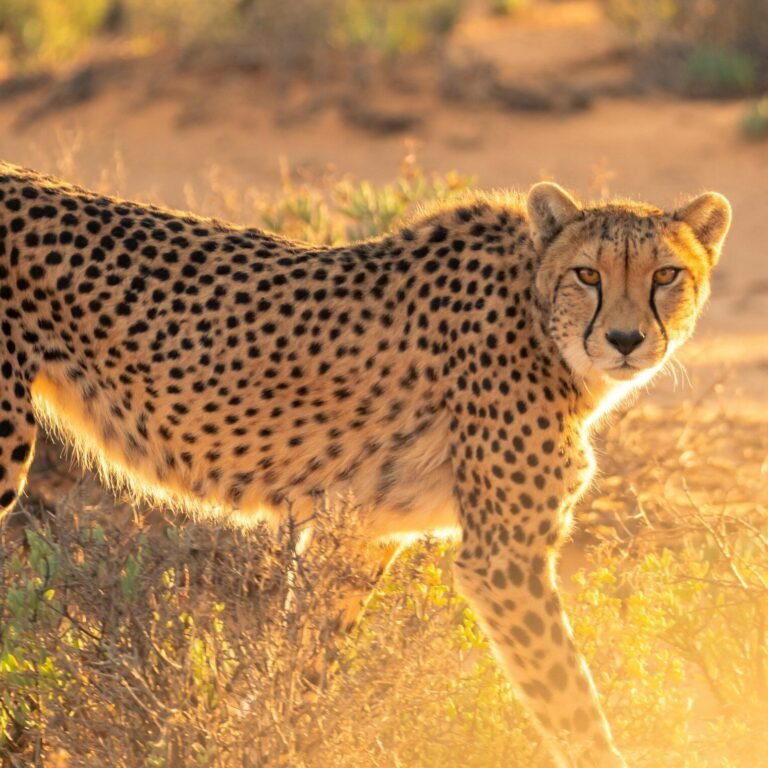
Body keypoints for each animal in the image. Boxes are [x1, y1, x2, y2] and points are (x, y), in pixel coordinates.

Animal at [0, 160, 730, 767]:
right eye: (588, 274)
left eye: (666, 275)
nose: (626, 339)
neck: (538, 318)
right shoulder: (503, 557)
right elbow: (571, 700)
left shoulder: (360, 532)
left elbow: (302, 665)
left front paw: (271, 741)